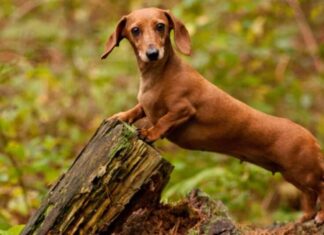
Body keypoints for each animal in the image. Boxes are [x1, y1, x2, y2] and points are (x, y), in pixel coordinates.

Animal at [102, 7, 324, 224]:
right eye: (135, 30)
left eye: (160, 26)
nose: (152, 53)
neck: (159, 75)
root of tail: (312, 139)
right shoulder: (147, 106)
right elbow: (137, 109)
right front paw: (120, 117)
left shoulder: (183, 109)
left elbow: (164, 120)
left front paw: (149, 133)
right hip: (293, 175)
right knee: (310, 194)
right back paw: (306, 216)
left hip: (303, 172)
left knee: (321, 188)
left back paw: (319, 216)